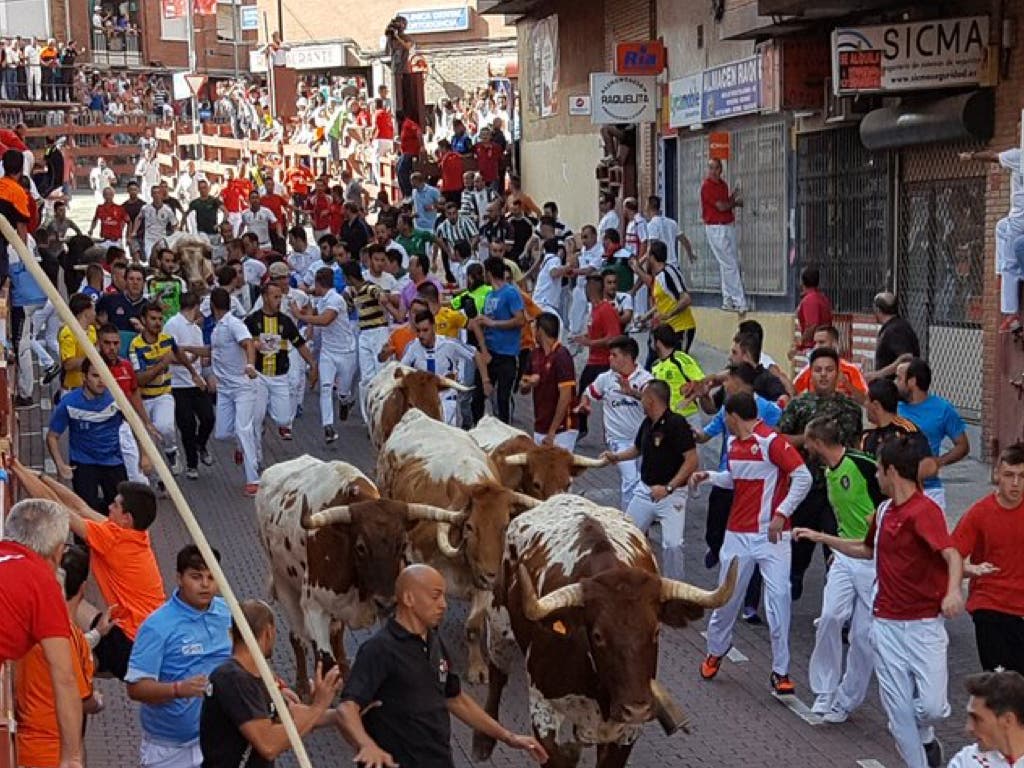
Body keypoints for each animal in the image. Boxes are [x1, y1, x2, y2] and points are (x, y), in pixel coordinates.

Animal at [256, 456, 464, 692]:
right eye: (361, 547)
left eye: (402, 545)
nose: (385, 602)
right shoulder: (314, 608)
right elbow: (325, 662)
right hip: (284, 584)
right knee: (298, 637)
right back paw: (302, 685)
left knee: (336, 636)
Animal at [374, 411, 536, 684]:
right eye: (470, 526)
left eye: (505, 525)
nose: (490, 575)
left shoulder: (484, 586)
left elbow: (473, 625)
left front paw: (477, 667)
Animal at [475, 495, 733, 765]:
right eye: (598, 636)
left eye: (656, 632)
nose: (637, 709)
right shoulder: (543, 710)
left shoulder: (626, 731)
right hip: (498, 623)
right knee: (498, 676)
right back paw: (484, 741)